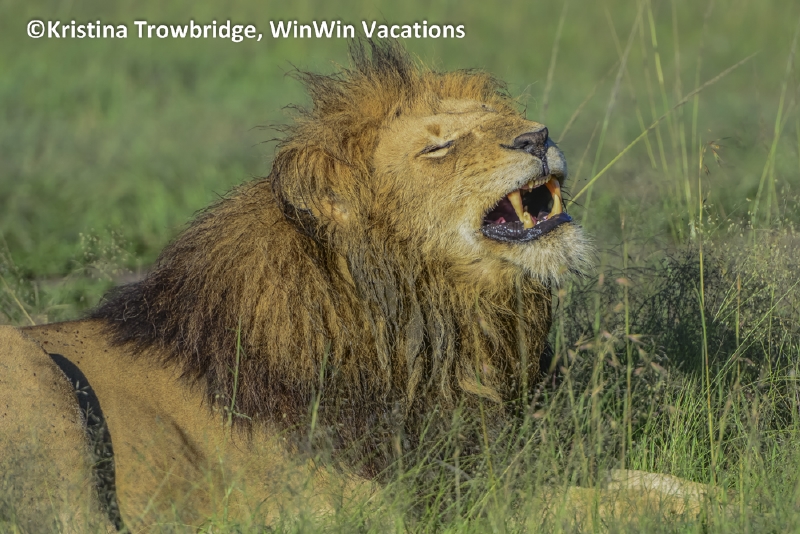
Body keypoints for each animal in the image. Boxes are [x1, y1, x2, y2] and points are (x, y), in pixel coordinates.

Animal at [0, 42, 704, 531]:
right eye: (439, 148)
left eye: (502, 118)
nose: (539, 135)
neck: (439, 325)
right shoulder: (418, 497)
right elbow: (598, 505)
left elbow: (657, 483)